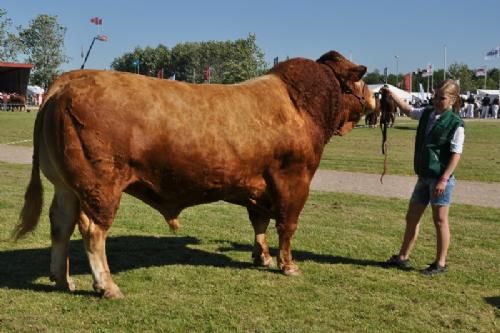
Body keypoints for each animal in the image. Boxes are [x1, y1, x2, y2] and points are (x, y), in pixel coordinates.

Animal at [14, 50, 376, 298]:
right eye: (358, 80)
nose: (374, 98)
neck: (299, 105)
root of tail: (68, 81)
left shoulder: (258, 186)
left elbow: (259, 222)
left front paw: (262, 257)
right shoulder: (294, 179)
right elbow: (287, 225)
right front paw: (288, 265)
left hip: (66, 186)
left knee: (60, 225)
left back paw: (63, 278)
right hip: (99, 186)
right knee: (92, 231)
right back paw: (107, 286)